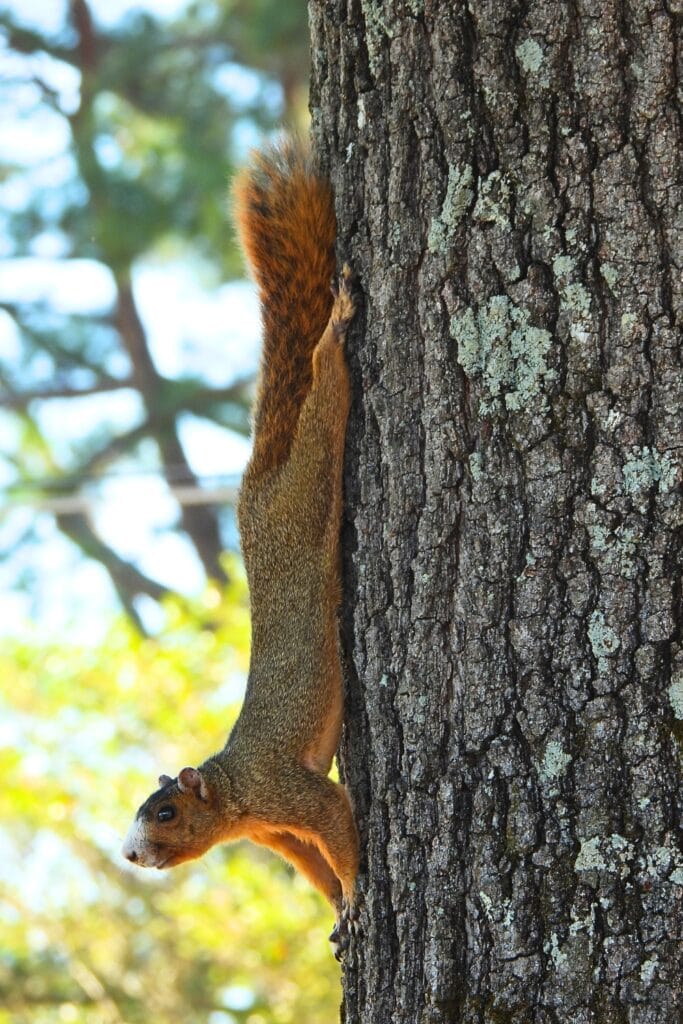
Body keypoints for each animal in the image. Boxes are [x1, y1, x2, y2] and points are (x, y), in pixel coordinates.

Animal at [122, 139, 359, 945]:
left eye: (165, 812)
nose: (130, 855)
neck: (233, 796)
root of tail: (257, 486)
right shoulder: (274, 833)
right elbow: (314, 865)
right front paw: (337, 909)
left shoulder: (287, 793)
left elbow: (336, 821)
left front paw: (359, 895)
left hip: (307, 485)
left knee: (324, 401)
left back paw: (335, 331)